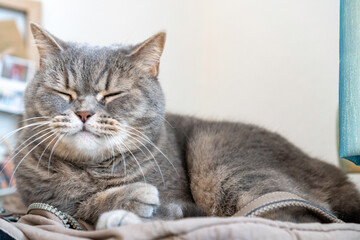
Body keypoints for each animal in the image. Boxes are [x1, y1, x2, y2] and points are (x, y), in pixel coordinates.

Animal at [12, 23, 360, 230]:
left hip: (216, 154)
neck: (90, 171)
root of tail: (334, 172)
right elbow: (77, 206)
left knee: (290, 217)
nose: (83, 113)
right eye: (64, 93)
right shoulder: (44, 200)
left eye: (112, 94)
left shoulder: (176, 195)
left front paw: (126, 207)